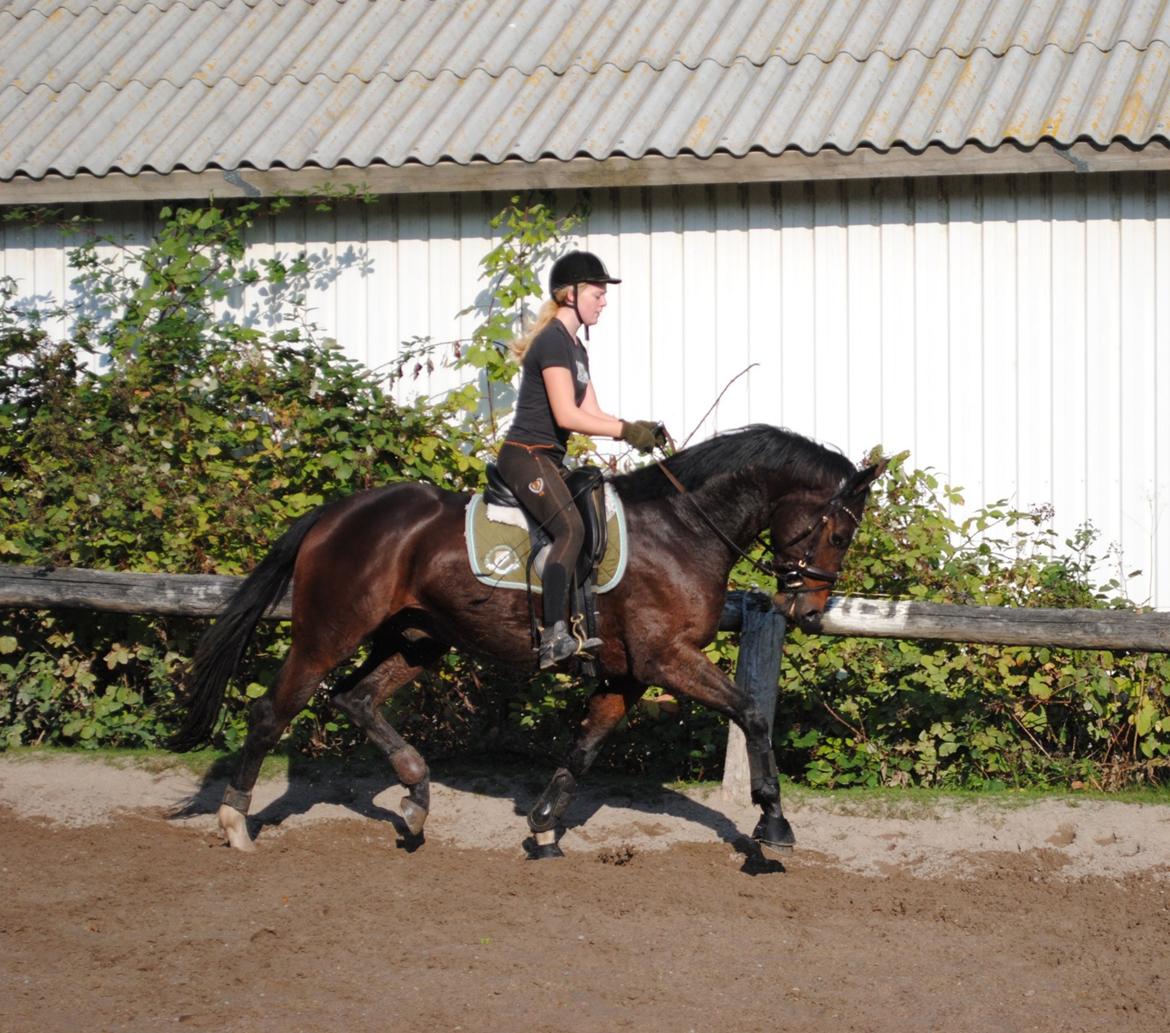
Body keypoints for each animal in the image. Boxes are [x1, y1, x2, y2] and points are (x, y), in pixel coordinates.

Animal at [170, 425, 884, 856]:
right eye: (839, 532)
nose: (807, 609)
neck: (684, 528)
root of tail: (335, 512)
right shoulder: (667, 659)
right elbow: (752, 712)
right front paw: (773, 822)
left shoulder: (629, 671)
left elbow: (586, 747)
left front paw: (543, 825)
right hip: (329, 632)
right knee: (272, 711)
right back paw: (236, 823)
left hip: (419, 639)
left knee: (356, 699)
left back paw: (416, 798)